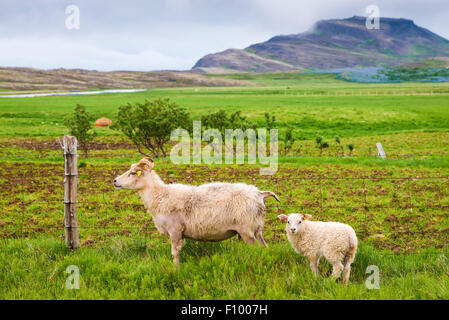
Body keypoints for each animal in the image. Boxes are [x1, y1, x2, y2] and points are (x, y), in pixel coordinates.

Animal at [114, 158, 278, 264]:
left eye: (133, 172)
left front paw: (176, 270)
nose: (115, 181)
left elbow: (175, 253)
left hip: (247, 230)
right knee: (265, 248)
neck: (160, 196)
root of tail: (259, 194)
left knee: (256, 250)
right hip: (256, 229)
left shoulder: (175, 230)